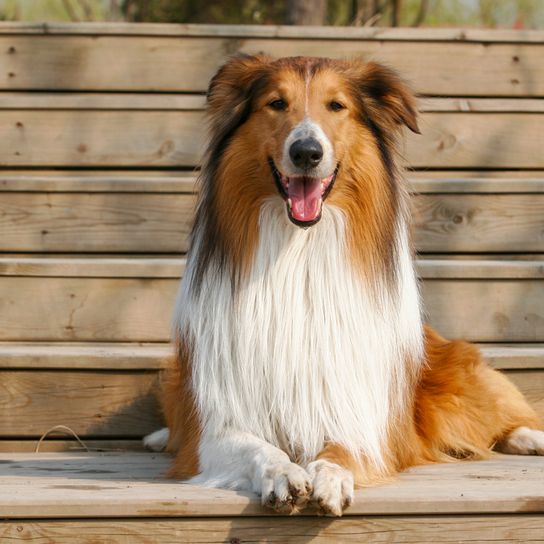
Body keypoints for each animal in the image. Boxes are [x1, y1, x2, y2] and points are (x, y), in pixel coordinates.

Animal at [144, 54, 544, 516]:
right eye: (276, 103)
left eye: (336, 106)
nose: (306, 152)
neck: (299, 253)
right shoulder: (217, 428)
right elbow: (257, 447)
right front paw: (283, 473)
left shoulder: (364, 420)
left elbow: (343, 447)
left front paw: (330, 476)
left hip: (455, 380)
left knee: (501, 410)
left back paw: (530, 438)